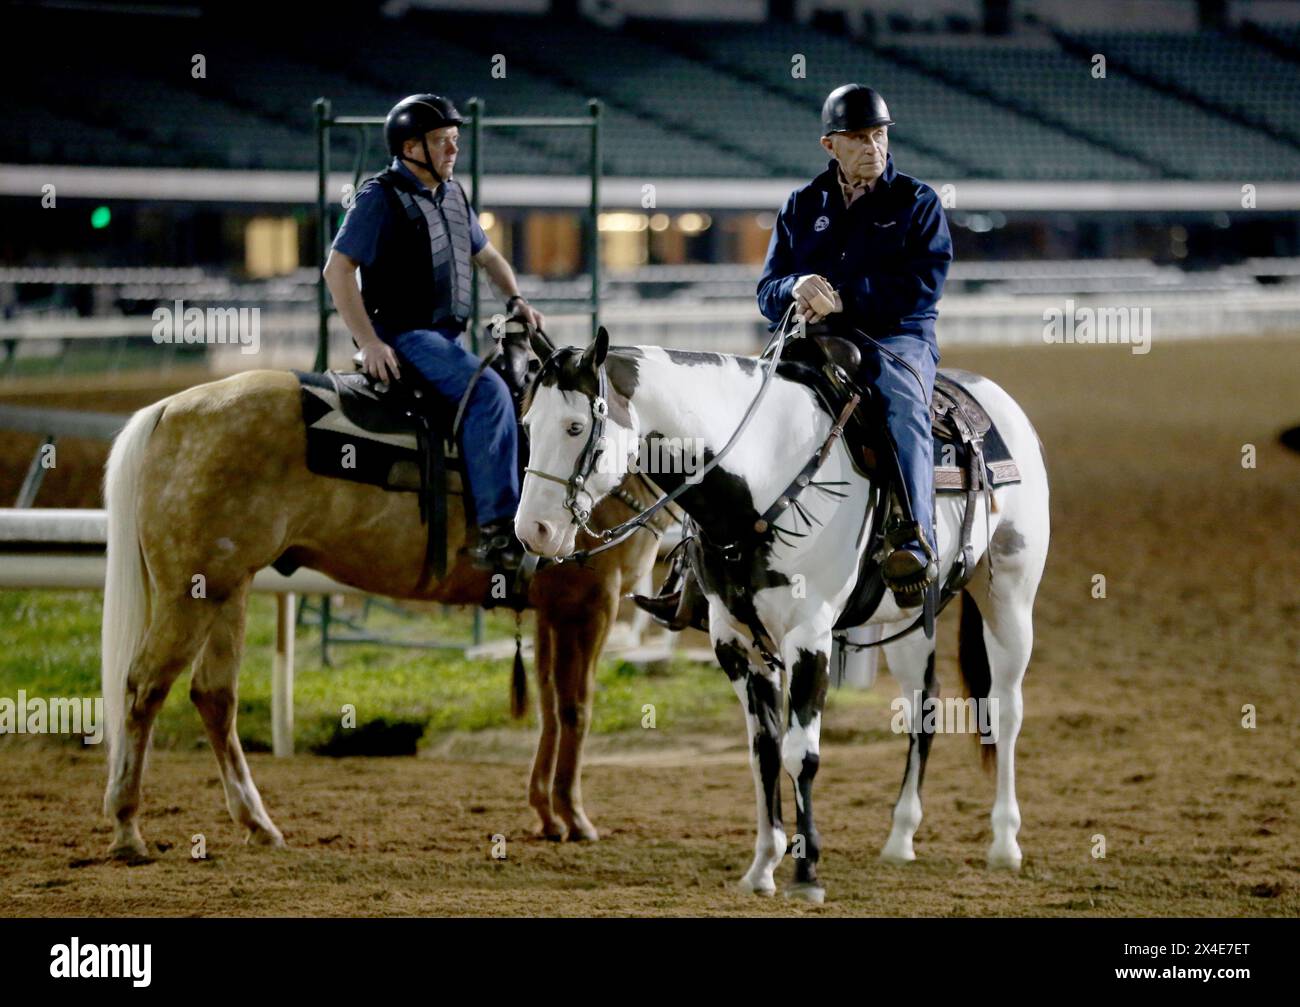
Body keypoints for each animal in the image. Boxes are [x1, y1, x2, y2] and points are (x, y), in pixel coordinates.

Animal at [98, 340, 660, 857]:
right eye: (570, 428)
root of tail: (168, 410)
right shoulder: (590, 604)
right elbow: (575, 708)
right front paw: (575, 817)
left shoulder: (552, 612)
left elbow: (547, 708)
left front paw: (546, 813)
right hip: (190, 594)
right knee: (143, 688)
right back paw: (127, 828)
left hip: (225, 589)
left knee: (214, 696)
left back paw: (258, 823)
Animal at [512, 331, 1050, 904]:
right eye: (528, 424)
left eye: (574, 426)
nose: (533, 531)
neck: (763, 477)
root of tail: (994, 399)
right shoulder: (736, 644)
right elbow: (763, 753)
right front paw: (762, 868)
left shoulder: (809, 637)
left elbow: (800, 754)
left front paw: (806, 871)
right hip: (905, 619)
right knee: (922, 707)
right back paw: (900, 838)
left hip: (1009, 597)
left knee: (1006, 708)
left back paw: (1004, 844)